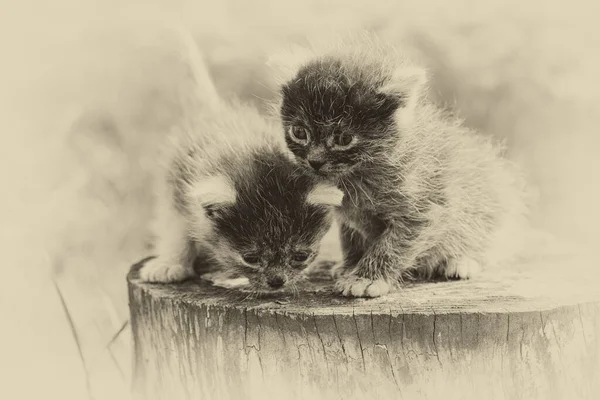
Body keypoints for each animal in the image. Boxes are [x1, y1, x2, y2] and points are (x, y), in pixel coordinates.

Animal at [137, 27, 342, 290]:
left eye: (300, 256)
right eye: (251, 258)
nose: (277, 281)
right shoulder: (176, 183)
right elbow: (176, 228)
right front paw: (171, 262)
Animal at [270, 33, 532, 296]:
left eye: (344, 139)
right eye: (299, 132)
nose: (314, 161)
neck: (358, 174)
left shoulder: (425, 209)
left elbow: (391, 245)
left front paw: (367, 278)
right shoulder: (348, 216)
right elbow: (350, 238)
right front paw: (350, 265)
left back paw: (462, 260)